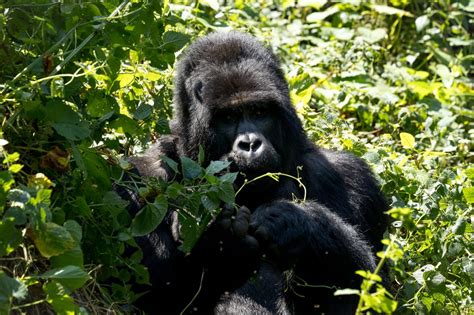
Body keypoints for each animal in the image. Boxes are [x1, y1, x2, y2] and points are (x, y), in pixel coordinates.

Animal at [127, 31, 388, 314]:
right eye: (228, 118)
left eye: (260, 112)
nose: (250, 144)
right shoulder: (145, 176)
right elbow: (146, 290)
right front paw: (219, 242)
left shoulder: (353, 178)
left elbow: (372, 288)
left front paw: (295, 223)